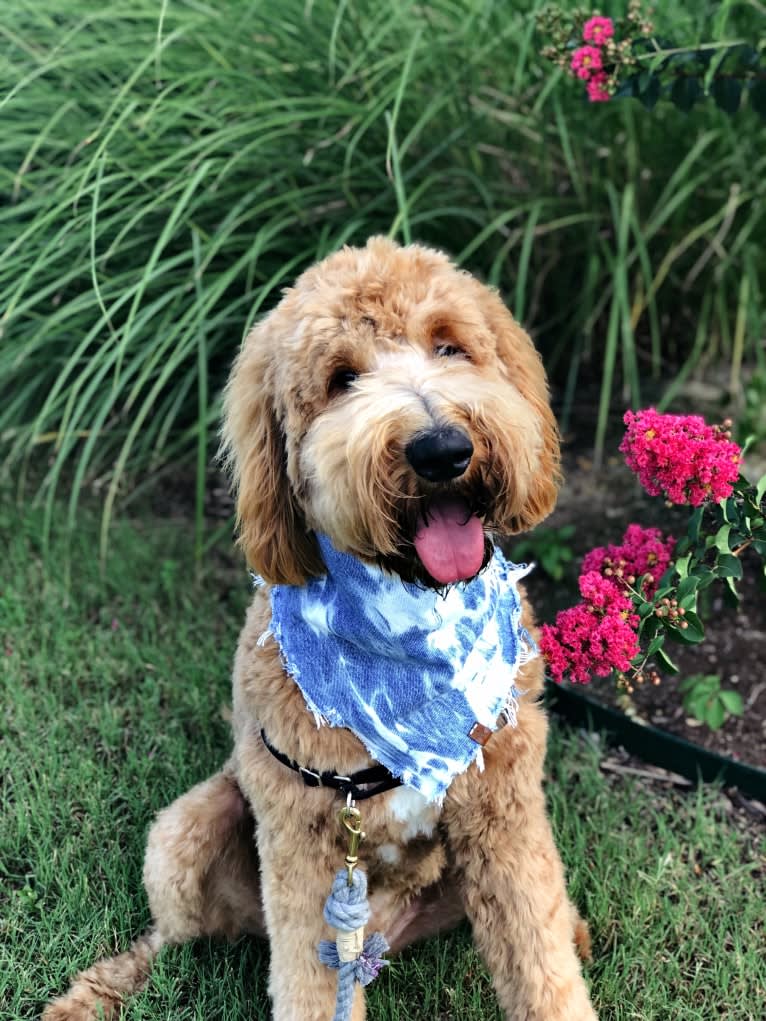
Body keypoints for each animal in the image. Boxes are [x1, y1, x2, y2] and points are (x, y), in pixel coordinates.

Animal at [44, 238, 600, 1021]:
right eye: (342, 380)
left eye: (449, 345)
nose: (441, 449)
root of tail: (385, 936)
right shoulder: (304, 845)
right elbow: (306, 987)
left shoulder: (503, 811)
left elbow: (538, 952)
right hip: (186, 832)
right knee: (170, 937)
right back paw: (97, 993)